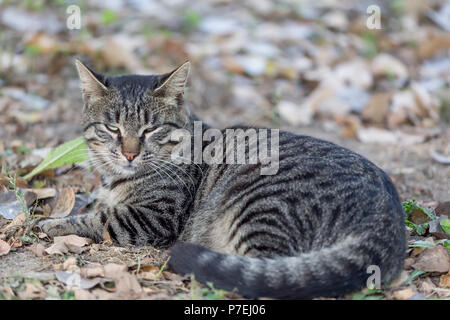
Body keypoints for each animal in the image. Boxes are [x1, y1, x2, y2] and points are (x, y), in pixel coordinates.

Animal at [37, 60, 406, 300]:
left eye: (150, 129)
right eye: (112, 128)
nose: (129, 153)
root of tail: (388, 215)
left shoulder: (153, 217)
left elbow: (96, 219)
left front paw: (48, 223)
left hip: (263, 206)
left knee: (267, 274)